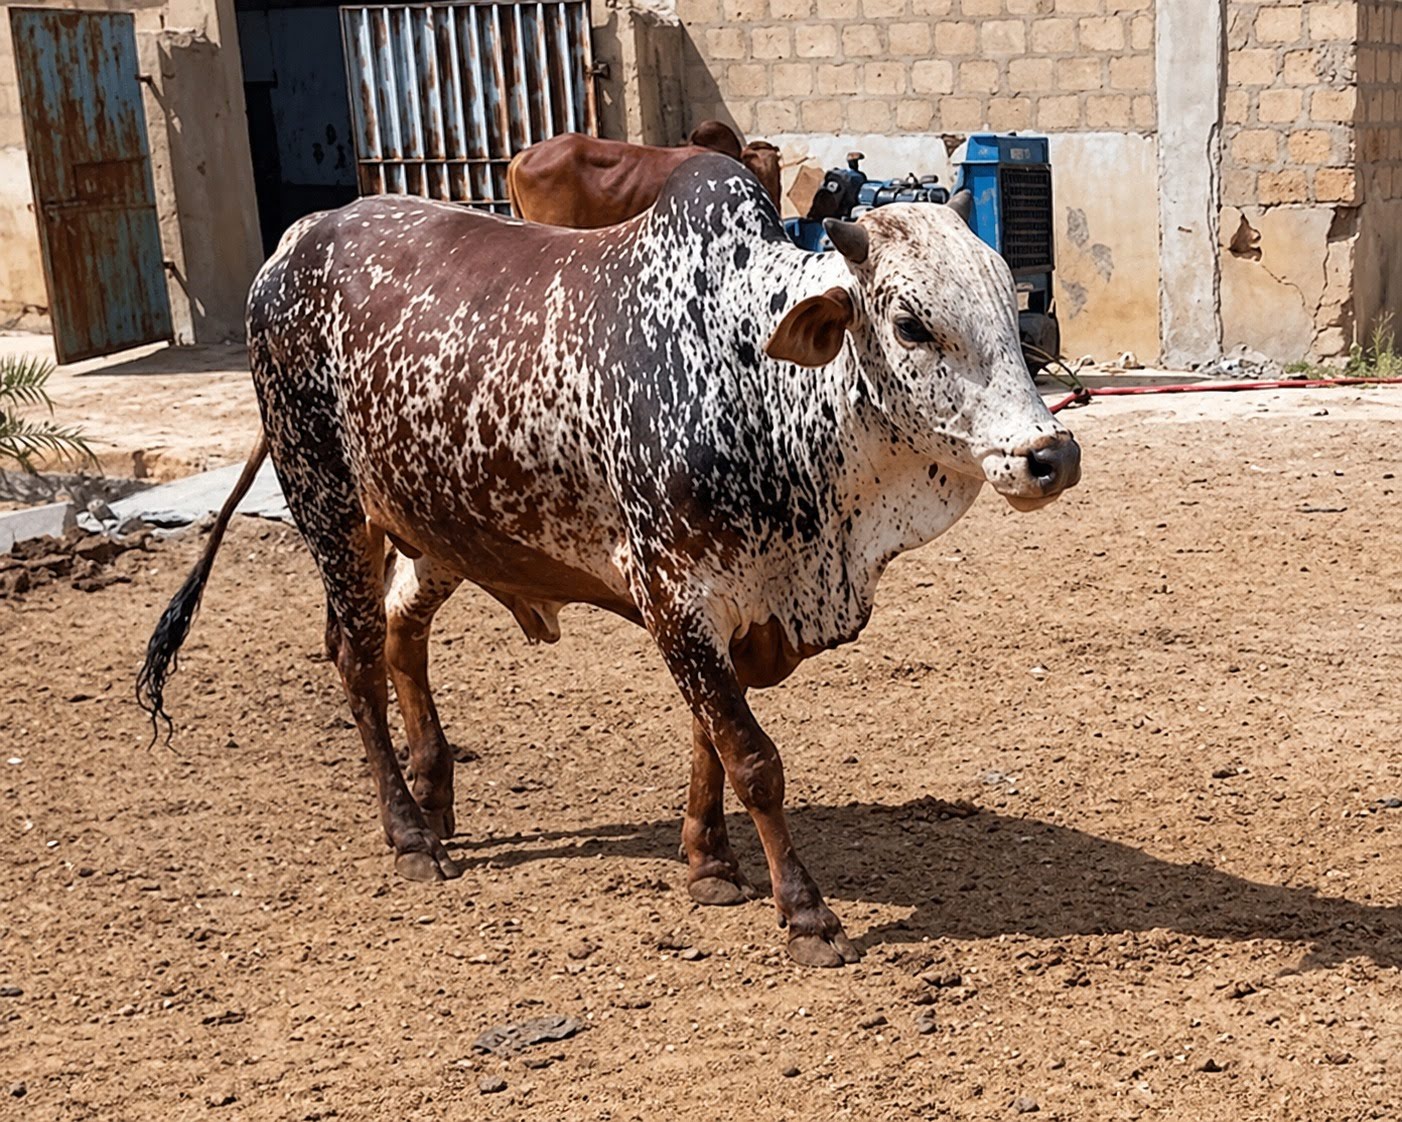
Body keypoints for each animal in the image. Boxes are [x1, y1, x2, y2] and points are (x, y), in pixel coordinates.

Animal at [138, 155, 1080, 967]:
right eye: (912, 324)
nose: (1050, 455)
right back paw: (409, 836)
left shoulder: (730, 609)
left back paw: (436, 798)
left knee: (404, 636)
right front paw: (806, 914)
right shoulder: (673, 593)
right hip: (328, 504)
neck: (763, 389)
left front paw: (710, 866)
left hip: (440, 525)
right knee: (356, 657)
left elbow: (710, 741)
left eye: (1008, 309)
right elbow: (753, 759)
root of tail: (299, 240)